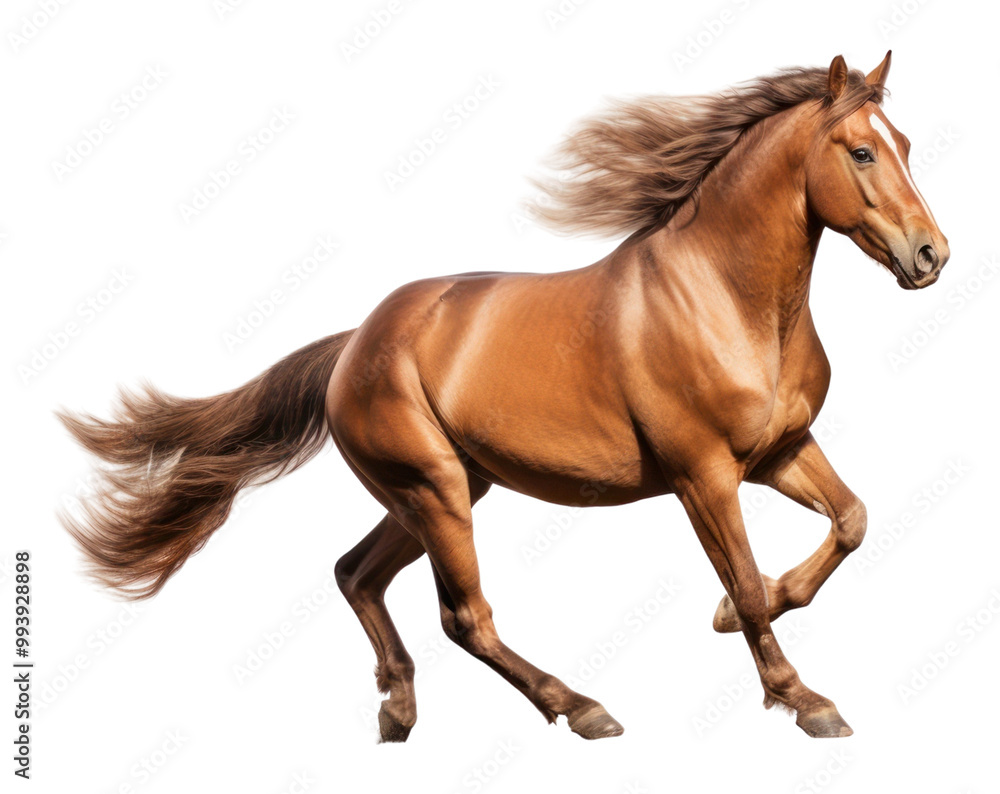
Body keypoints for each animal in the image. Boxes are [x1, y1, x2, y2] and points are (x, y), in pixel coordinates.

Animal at [59, 51, 949, 742]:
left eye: (904, 144)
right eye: (861, 152)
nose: (931, 254)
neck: (728, 300)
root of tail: (353, 344)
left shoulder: (779, 452)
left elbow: (850, 521)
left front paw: (740, 614)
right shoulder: (703, 475)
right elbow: (749, 581)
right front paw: (804, 700)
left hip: (442, 488)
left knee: (356, 574)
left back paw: (398, 712)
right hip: (436, 491)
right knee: (464, 616)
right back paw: (582, 708)